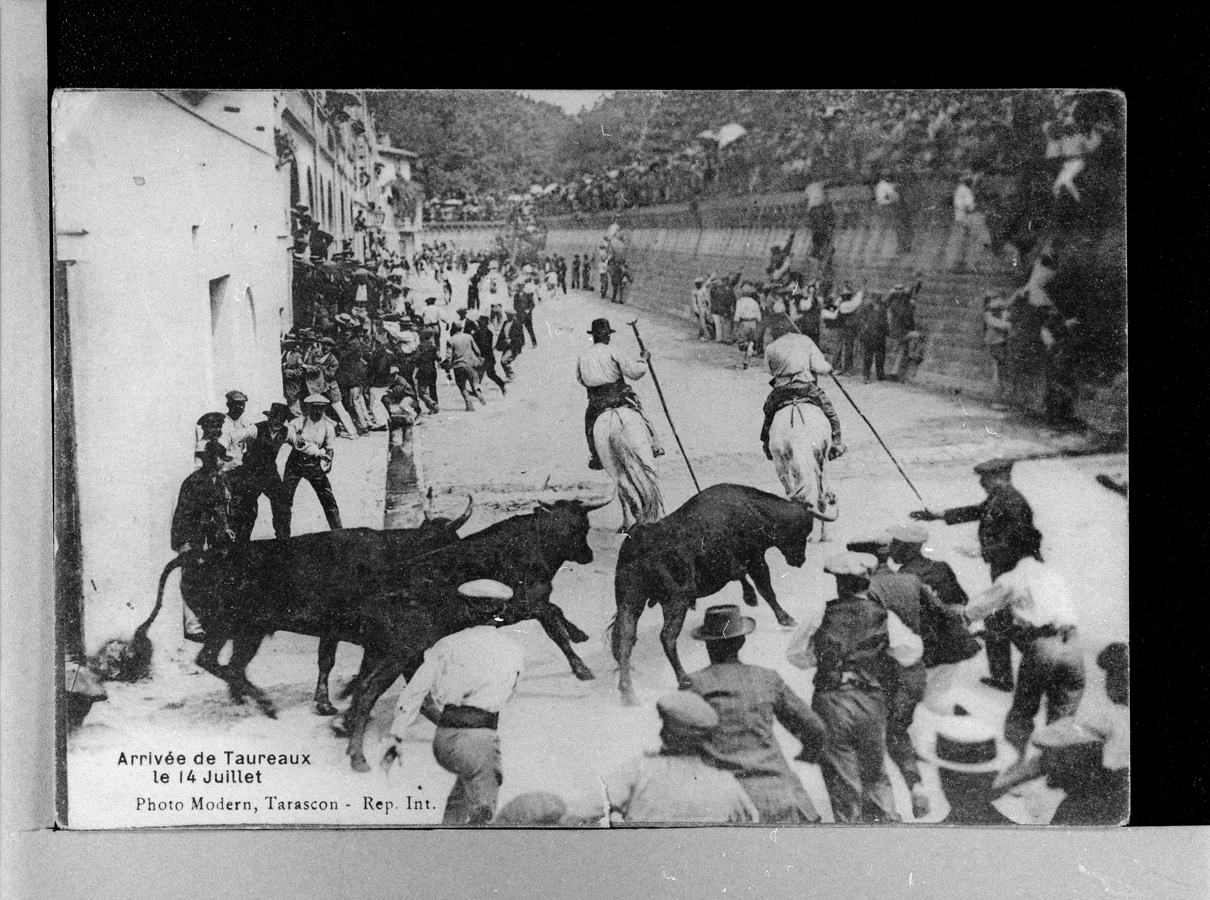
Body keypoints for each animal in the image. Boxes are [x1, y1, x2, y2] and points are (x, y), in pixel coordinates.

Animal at [609, 486, 817, 701]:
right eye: (802, 533)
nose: (800, 560)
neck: (756, 510)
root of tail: (640, 543)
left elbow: (742, 578)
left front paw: (749, 597)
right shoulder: (757, 559)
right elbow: (767, 590)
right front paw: (786, 618)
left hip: (629, 602)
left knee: (624, 638)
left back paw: (627, 690)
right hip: (676, 602)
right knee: (667, 637)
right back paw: (683, 679)